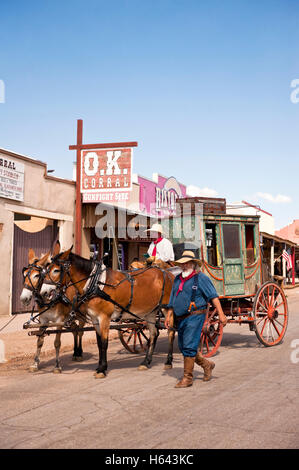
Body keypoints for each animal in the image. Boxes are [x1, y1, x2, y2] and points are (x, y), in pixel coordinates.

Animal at [20, 244, 85, 372]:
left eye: (36, 275)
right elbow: (39, 341)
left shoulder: (59, 321)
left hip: (81, 316)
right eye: (24, 274)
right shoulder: (43, 320)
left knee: (80, 332)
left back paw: (79, 352)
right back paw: (75, 352)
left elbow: (57, 343)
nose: (23, 298)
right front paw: (35, 363)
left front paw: (57, 365)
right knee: (74, 329)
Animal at [39, 248, 176, 380]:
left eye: (56, 270)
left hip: (167, 309)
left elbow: (104, 343)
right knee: (154, 334)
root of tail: (168, 273)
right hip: (150, 312)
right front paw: (99, 366)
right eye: (47, 269)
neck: (96, 283)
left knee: (171, 332)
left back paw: (168, 361)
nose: (42, 292)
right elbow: (99, 343)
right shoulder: (95, 318)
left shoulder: (105, 317)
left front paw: (102, 369)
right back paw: (146, 362)